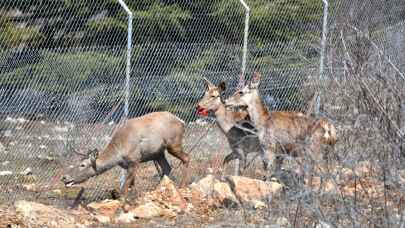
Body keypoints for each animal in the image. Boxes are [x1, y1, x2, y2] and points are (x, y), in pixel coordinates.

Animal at [60, 112, 190, 198]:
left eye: (82, 164)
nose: (64, 177)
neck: (119, 154)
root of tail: (182, 122)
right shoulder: (127, 165)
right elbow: (131, 184)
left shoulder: (135, 159)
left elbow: (125, 187)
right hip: (158, 153)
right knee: (167, 168)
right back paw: (157, 189)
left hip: (173, 143)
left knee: (186, 158)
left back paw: (182, 186)